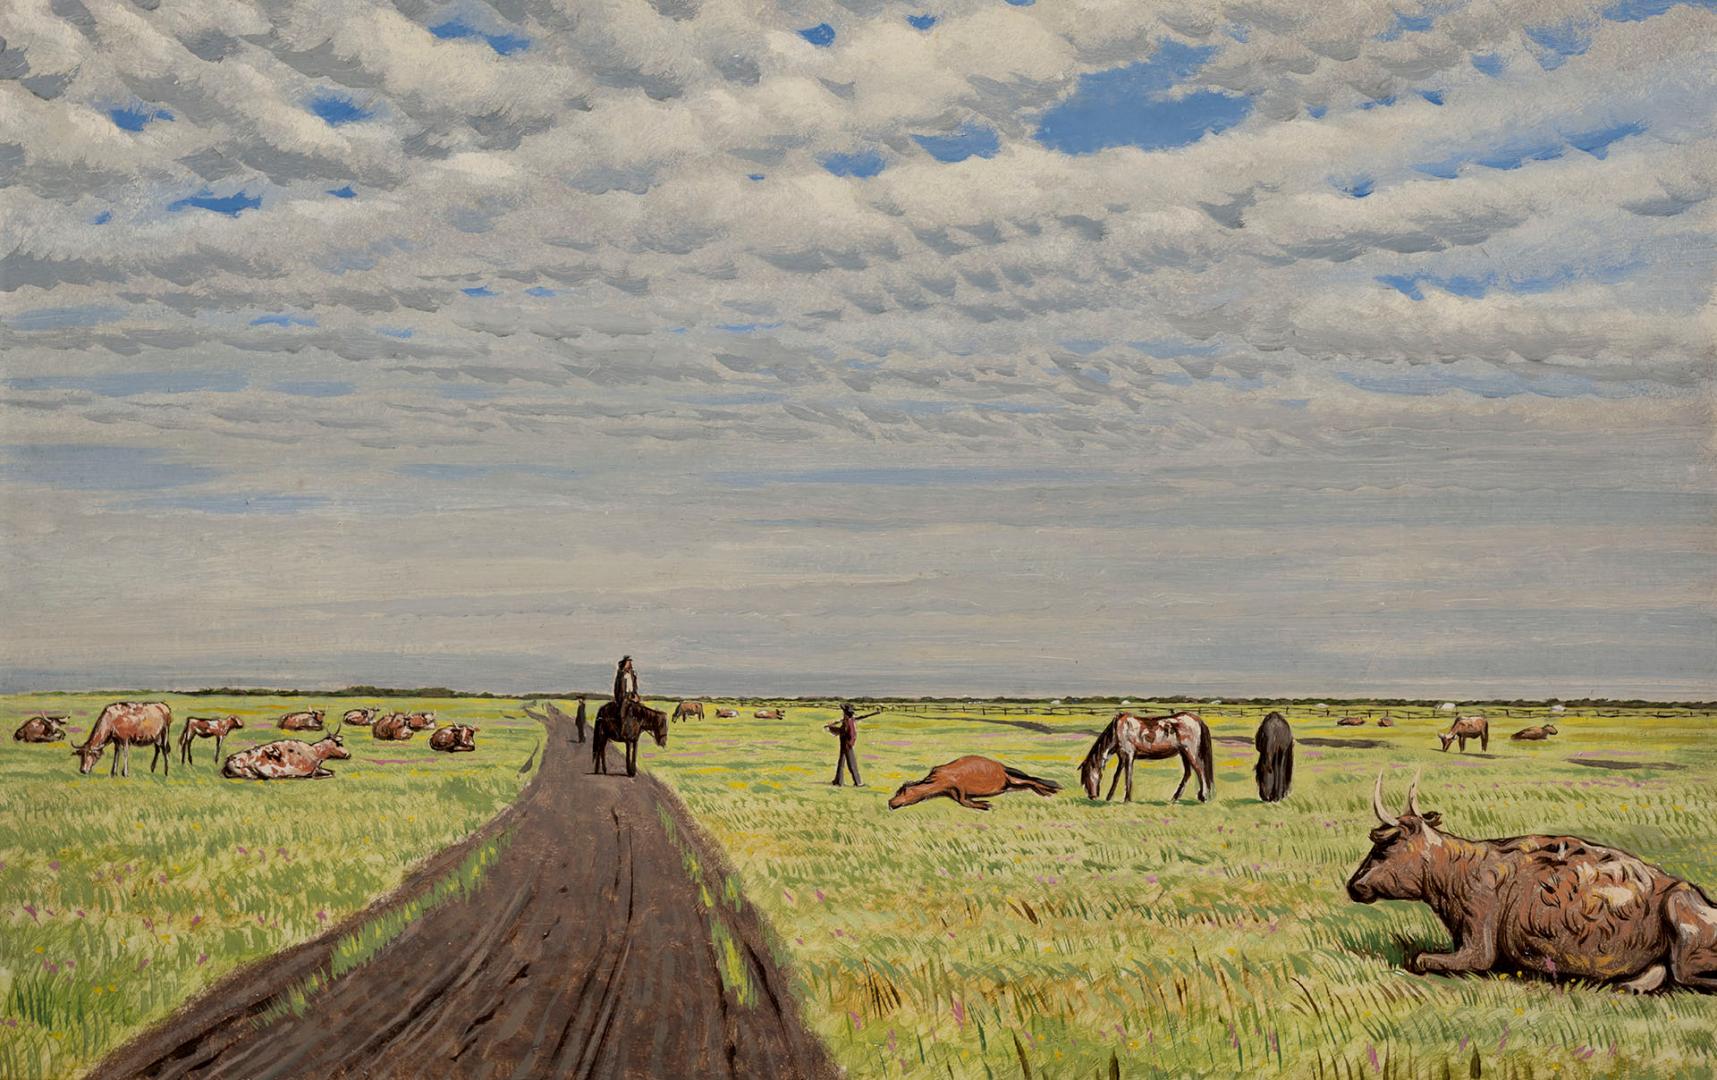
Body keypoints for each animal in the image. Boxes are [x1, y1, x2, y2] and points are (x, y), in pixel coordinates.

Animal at [223, 728, 353, 779]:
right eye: (339, 744)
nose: (349, 754)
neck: (315, 752)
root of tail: (229, 759)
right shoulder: (313, 769)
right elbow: (330, 773)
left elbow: (332, 772)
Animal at [885, 758, 1057, 810]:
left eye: (899, 793)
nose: (890, 803)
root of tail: (1003, 768)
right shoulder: (953, 791)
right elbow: (962, 801)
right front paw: (982, 804)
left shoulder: (958, 785)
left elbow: (964, 801)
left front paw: (984, 805)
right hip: (1012, 784)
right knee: (1029, 783)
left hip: (1014, 780)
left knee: (1031, 780)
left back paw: (1050, 790)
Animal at [1078, 707, 1215, 800]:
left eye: (1086, 776)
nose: (1092, 796)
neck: (1117, 730)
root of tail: (1196, 719)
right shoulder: (1122, 757)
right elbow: (1116, 777)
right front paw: (1109, 797)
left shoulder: (1129, 755)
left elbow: (1128, 776)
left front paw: (1126, 799)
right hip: (1183, 753)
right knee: (1188, 773)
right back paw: (1174, 798)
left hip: (1190, 751)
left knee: (1200, 770)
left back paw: (1203, 797)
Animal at [1346, 769, 1710, 988]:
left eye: (1383, 847)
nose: (1352, 885)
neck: (1453, 879)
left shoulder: (1479, 941)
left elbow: (1421, 958)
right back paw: (1631, 984)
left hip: (1680, 915)